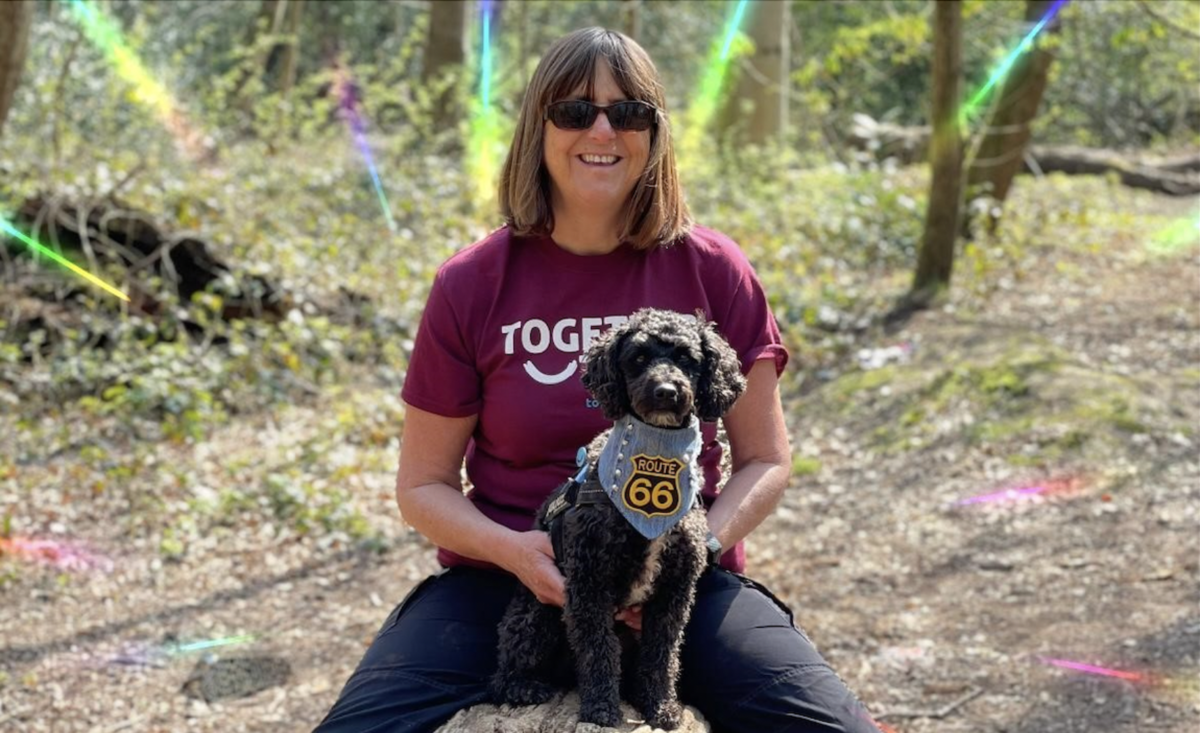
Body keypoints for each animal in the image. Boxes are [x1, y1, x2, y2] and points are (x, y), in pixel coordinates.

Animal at [487, 307, 739, 729]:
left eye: (686, 358)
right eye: (638, 357)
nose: (665, 391)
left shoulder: (673, 592)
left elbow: (662, 655)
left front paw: (660, 705)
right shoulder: (588, 584)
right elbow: (598, 650)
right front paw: (601, 708)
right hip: (535, 616)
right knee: (504, 669)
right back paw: (525, 687)